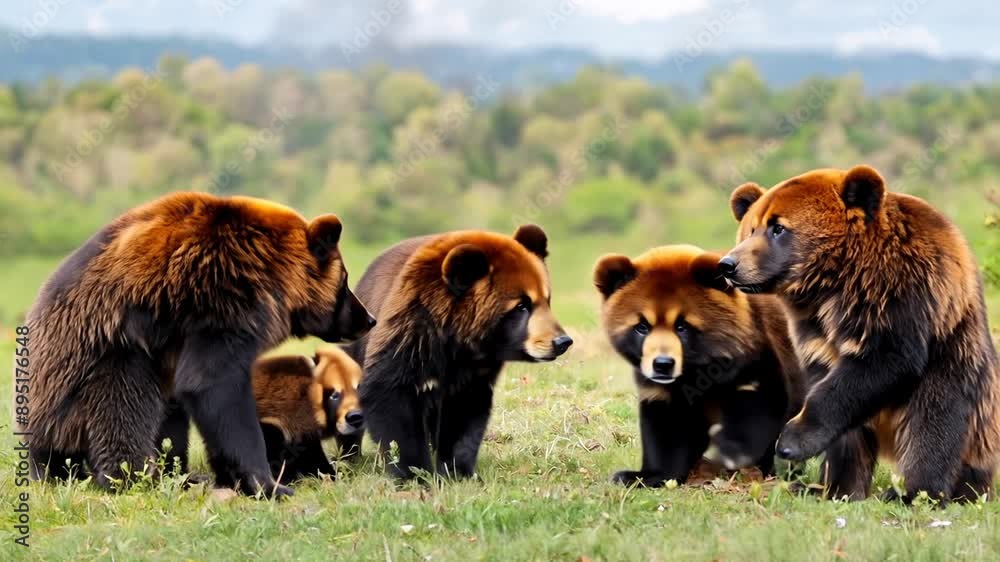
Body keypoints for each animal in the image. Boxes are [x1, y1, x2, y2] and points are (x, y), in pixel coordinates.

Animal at [347, 225, 573, 480]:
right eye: (521, 305)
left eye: (547, 299)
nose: (562, 341)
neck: (457, 340)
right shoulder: (410, 335)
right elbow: (388, 394)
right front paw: (414, 471)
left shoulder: (474, 369)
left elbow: (464, 411)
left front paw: (457, 471)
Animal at [594, 245, 805, 487]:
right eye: (642, 327)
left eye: (682, 326)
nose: (663, 364)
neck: (694, 373)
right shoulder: (660, 390)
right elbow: (667, 431)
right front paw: (647, 475)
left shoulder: (754, 360)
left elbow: (759, 409)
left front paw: (734, 452)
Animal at [720, 165, 1000, 503]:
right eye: (750, 229)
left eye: (778, 228)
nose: (729, 264)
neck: (835, 285)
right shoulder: (816, 334)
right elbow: (841, 415)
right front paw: (836, 487)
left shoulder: (902, 296)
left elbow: (880, 365)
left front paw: (790, 441)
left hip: (956, 360)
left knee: (935, 420)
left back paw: (915, 493)